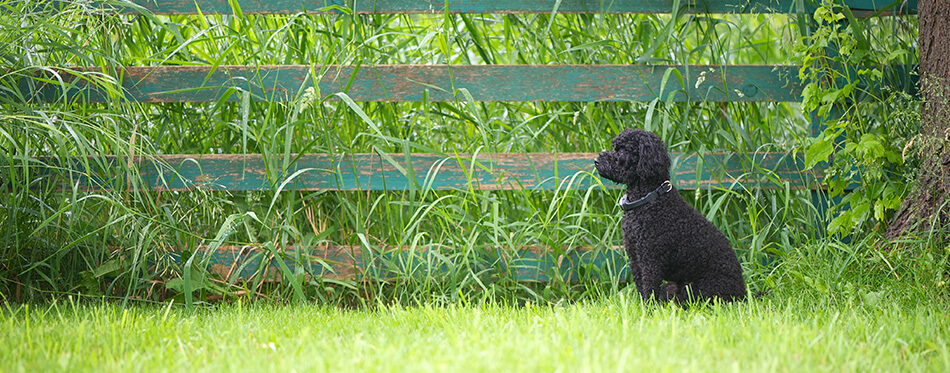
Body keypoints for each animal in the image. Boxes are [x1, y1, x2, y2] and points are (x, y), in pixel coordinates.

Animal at [596, 129, 744, 302]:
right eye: (614, 147)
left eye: (622, 151)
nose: (596, 161)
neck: (649, 199)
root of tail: (743, 294)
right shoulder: (635, 259)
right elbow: (641, 288)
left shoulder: (650, 261)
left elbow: (649, 290)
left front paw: (648, 308)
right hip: (674, 288)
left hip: (700, 289)